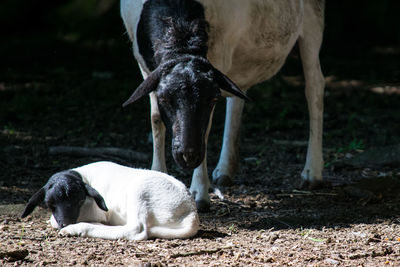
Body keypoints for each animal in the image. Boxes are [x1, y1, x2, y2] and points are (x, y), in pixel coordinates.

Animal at [21, 162, 199, 242]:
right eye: (49, 204)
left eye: (79, 200)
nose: (66, 222)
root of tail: (191, 213)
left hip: (140, 191)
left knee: (136, 229)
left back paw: (78, 229)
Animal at [121, 1, 324, 213]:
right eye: (164, 99)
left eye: (212, 99)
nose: (188, 154)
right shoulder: (145, 66)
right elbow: (156, 119)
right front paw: (157, 176)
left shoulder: (220, 53)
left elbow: (206, 128)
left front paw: (199, 193)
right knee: (237, 95)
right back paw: (225, 169)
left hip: (313, 18)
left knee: (315, 87)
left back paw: (312, 173)